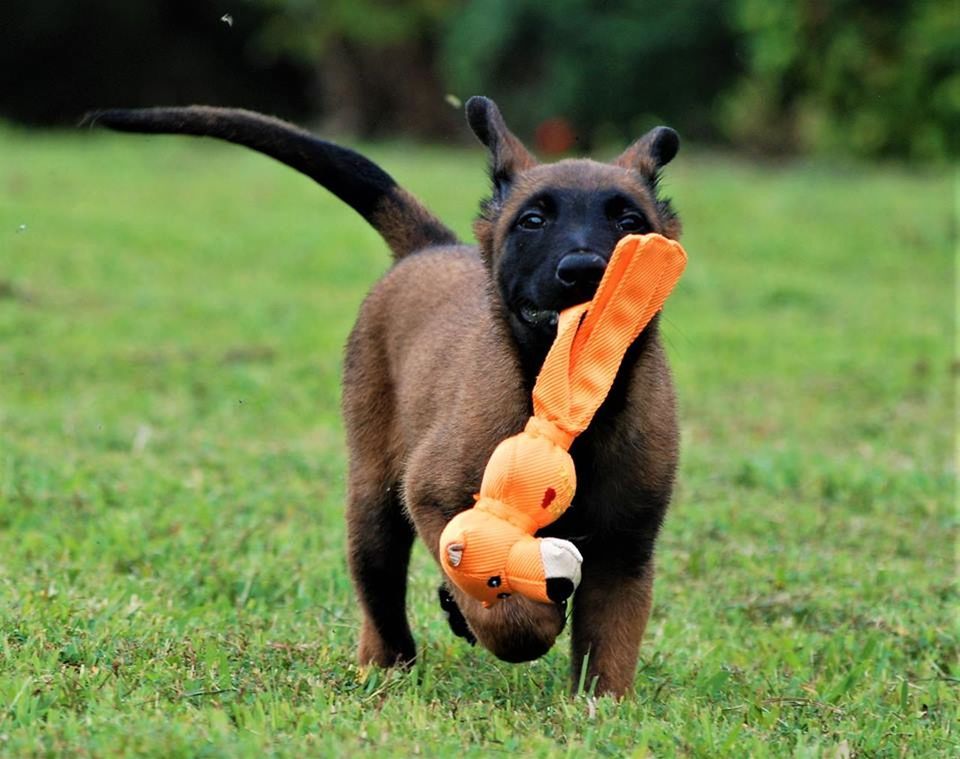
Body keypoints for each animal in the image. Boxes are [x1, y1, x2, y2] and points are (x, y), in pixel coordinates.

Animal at [84, 101, 684, 700]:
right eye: (533, 221)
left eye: (628, 221)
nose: (584, 271)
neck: (573, 408)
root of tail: (432, 246)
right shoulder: (435, 496)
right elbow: (506, 612)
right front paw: (526, 618)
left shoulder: (626, 549)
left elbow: (608, 646)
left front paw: (599, 704)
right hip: (375, 503)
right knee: (380, 596)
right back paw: (389, 662)